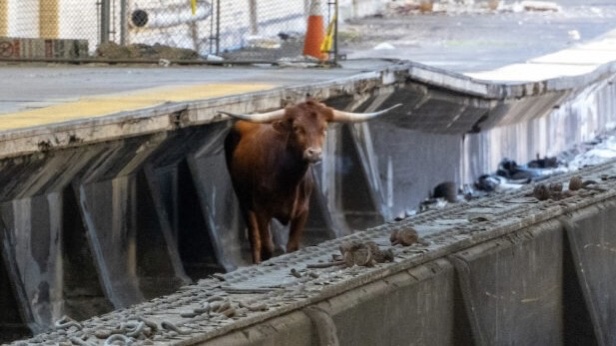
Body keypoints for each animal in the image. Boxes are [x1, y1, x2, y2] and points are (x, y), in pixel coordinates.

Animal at [219, 99, 402, 262]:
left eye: (324, 128)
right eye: (296, 127)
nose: (314, 153)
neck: (286, 180)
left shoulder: (302, 211)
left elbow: (292, 247)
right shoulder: (262, 210)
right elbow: (267, 248)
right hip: (244, 201)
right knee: (254, 238)